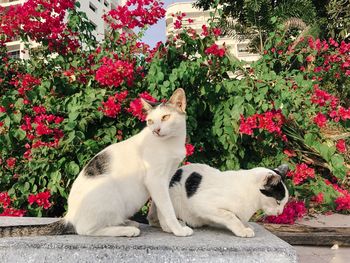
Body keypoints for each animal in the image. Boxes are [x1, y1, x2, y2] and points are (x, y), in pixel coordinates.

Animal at [0, 88, 193, 239]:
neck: (171, 143)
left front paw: (168, 228)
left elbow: (161, 208)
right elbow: (167, 208)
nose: (156, 130)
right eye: (150, 121)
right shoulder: (155, 180)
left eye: (166, 117)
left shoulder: (164, 180)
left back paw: (126, 223)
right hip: (108, 191)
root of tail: (69, 216)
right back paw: (127, 230)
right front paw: (177, 229)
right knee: (86, 230)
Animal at [146, 164, 288, 238]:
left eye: (284, 203)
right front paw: (242, 230)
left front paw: (246, 225)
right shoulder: (201, 203)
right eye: (278, 202)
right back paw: (177, 225)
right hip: (172, 196)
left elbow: (238, 218)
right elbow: (231, 216)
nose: (280, 213)